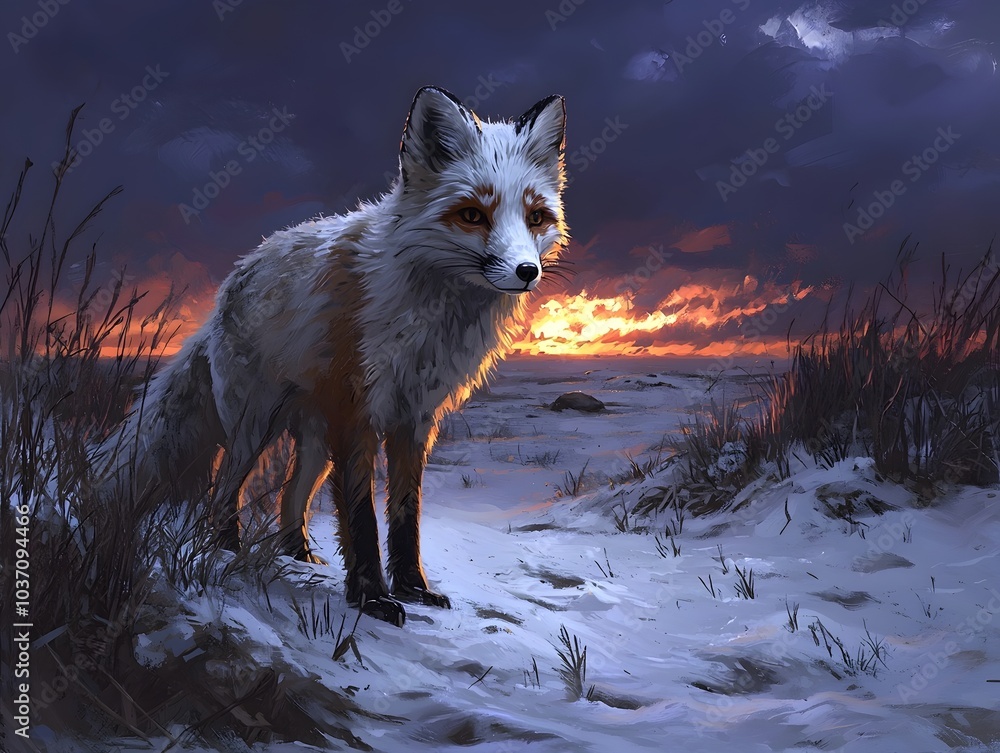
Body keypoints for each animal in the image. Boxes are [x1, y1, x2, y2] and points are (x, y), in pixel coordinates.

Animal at [102, 86, 569, 625]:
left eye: (536, 217)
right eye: (473, 214)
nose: (527, 271)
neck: (430, 319)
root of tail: (227, 288)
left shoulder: (415, 417)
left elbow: (406, 513)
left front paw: (413, 587)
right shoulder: (358, 411)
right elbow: (362, 516)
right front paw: (371, 597)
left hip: (315, 445)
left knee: (290, 495)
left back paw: (297, 554)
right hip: (255, 427)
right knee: (224, 486)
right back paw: (225, 549)